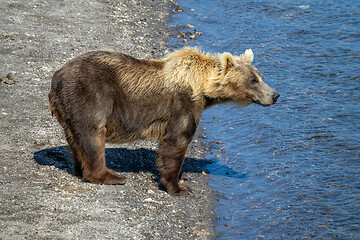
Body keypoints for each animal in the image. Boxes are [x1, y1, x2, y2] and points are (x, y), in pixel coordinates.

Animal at [48, 47, 278, 196]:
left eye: (261, 76)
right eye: (253, 80)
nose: (275, 95)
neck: (203, 88)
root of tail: (57, 75)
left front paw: (183, 177)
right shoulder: (183, 104)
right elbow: (176, 140)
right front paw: (178, 187)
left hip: (68, 107)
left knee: (75, 139)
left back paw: (80, 169)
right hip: (89, 94)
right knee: (93, 133)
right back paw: (110, 176)